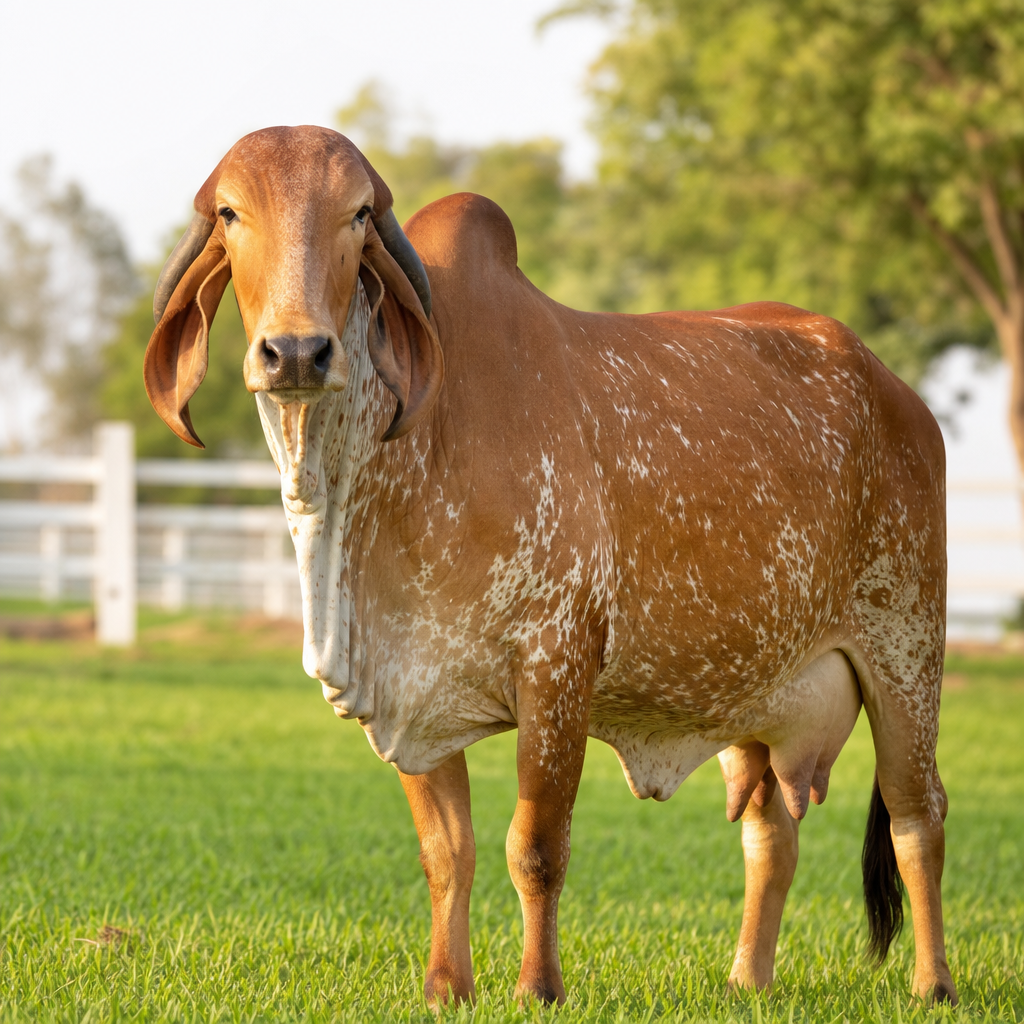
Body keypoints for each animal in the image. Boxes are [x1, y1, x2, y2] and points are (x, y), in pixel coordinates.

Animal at [144, 125, 956, 1007]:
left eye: (358, 213)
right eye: (231, 213)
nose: (296, 350)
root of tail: (899, 394)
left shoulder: (558, 668)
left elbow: (534, 849)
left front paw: (538, 987)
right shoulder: (411, 694)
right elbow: (448, 853)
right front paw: (446, 988)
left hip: (906, 653)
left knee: (918, 818)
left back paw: (933, 985)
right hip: (752, 692)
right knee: (771, 832)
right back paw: (747, 980)